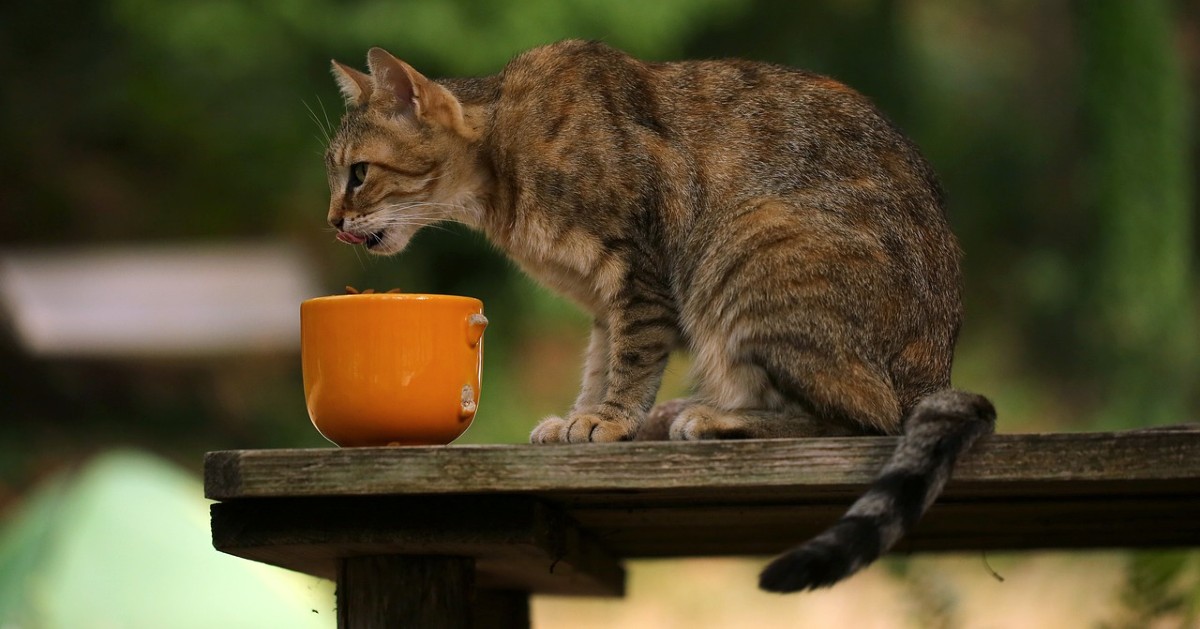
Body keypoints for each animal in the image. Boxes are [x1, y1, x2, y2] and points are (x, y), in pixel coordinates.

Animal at [324, 41, 998, 592]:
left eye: (359, 173)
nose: (332, 221)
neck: (502, 165)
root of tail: (933, 374)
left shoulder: (639, 270)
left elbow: (633, 357)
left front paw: (609, 420)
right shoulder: (606, 300)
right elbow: (601, 362)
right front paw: (585, 416)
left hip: (751, 246)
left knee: (865, 418)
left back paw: (716, 419)